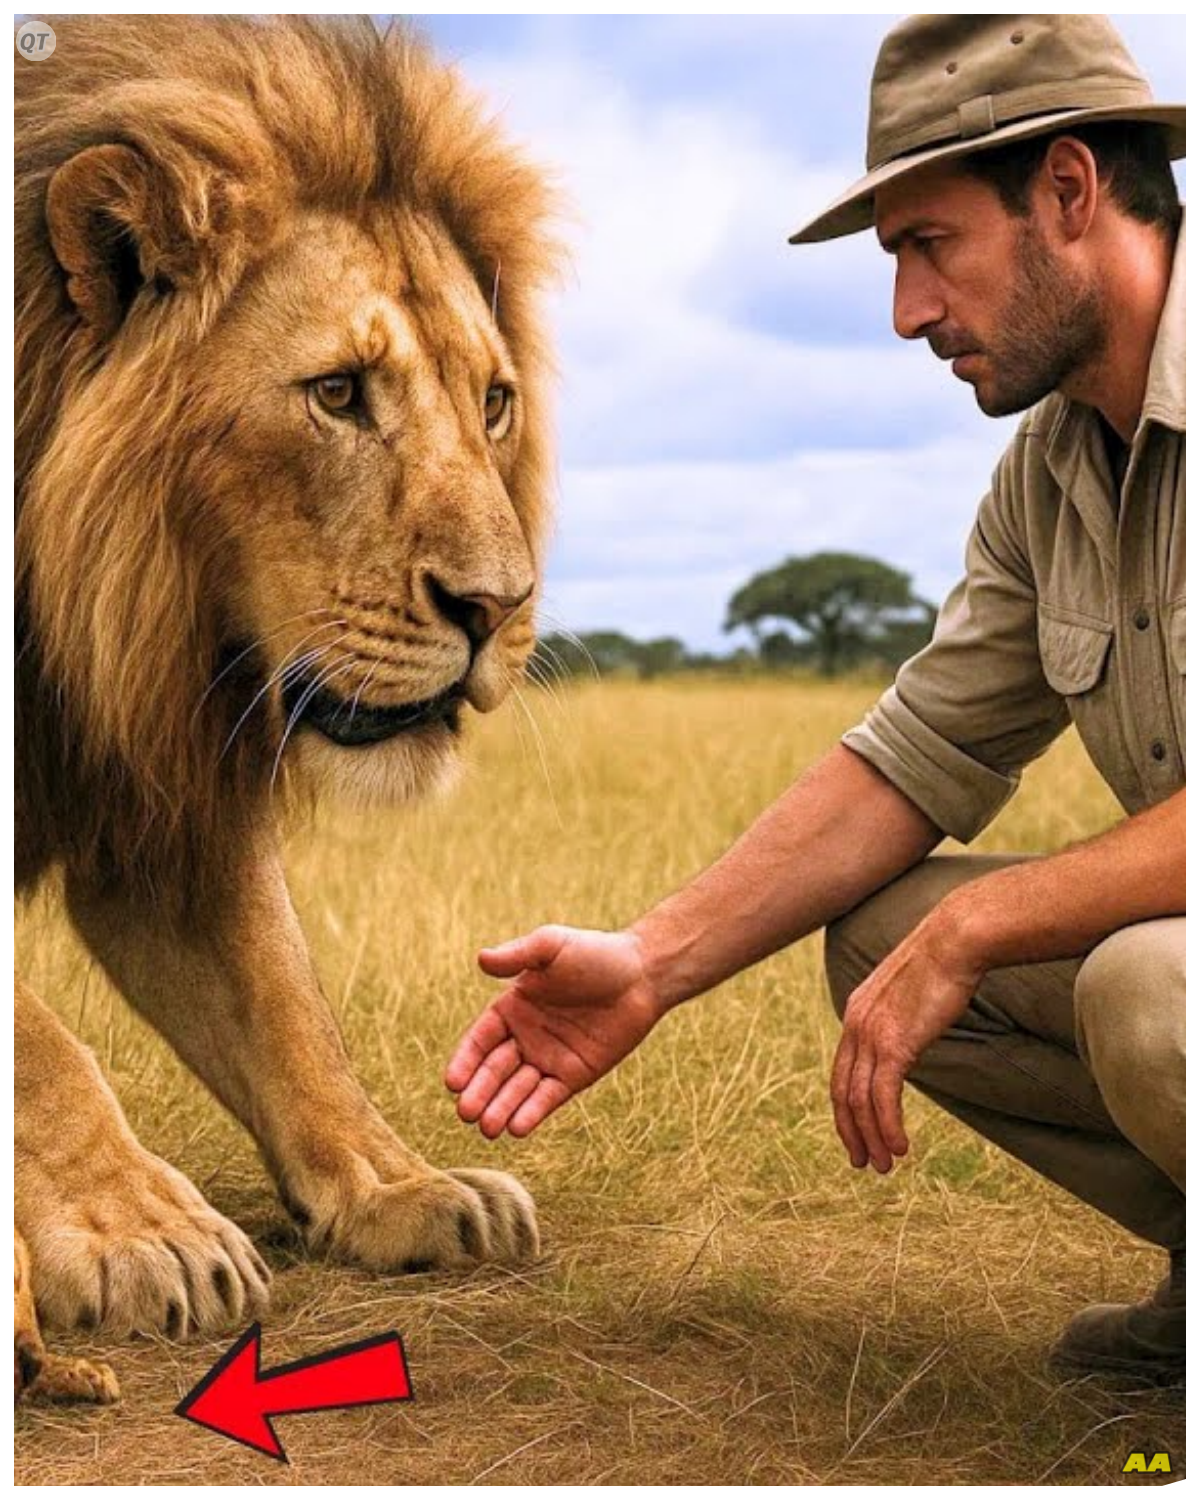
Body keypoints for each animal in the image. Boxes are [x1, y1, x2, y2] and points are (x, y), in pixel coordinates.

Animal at [15, 13, 562, 1379]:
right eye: (337, 393)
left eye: (493, 401)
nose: (498, 608)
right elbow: (42, 1045)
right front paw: (140, 1228)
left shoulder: (159, 799)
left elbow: (282, 1002)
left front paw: (403, 1188)